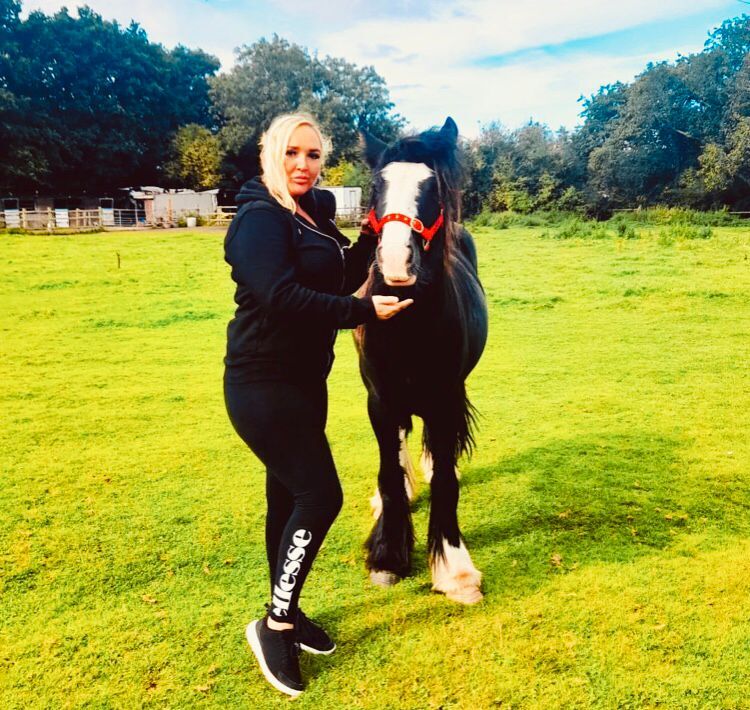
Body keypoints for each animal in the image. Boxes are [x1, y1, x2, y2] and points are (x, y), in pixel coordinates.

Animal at [356, 118, 490, 608]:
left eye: (432, 187)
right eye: (377, 184)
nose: (396, 262)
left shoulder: (444, 398)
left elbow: (448, 480)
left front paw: (454, 570)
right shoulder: (380, 400)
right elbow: (390, 472)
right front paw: (387, 556)